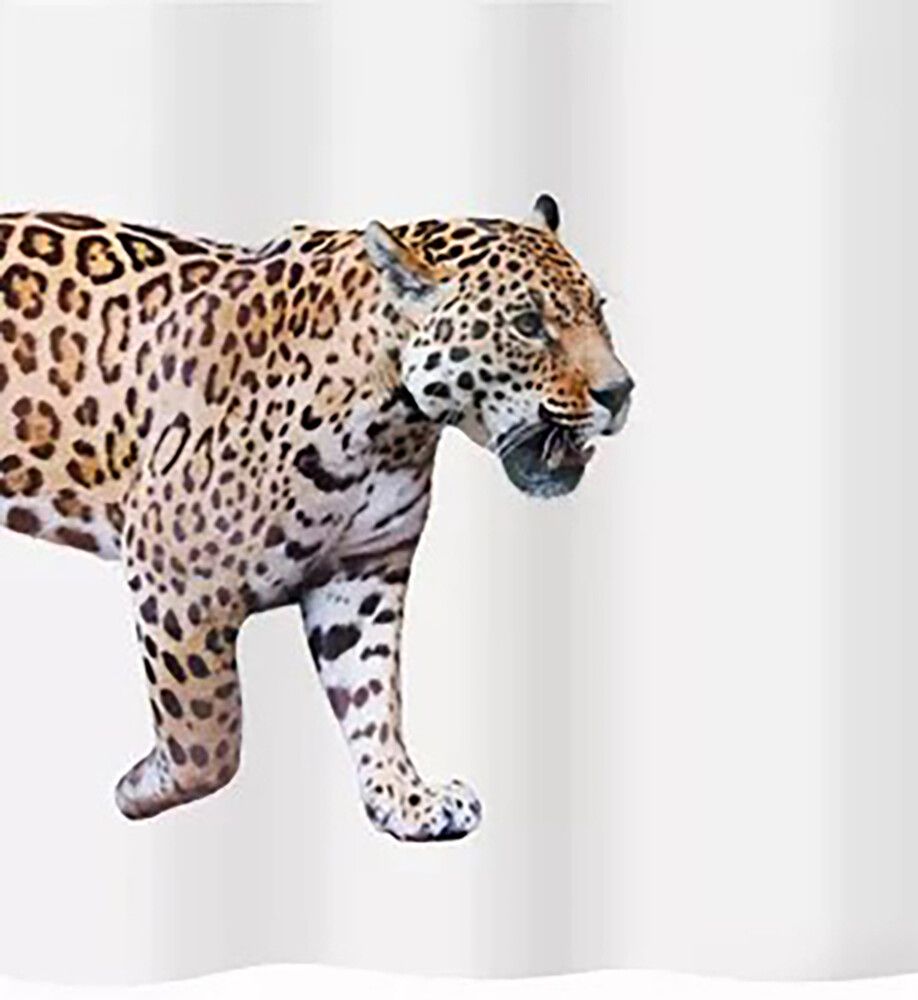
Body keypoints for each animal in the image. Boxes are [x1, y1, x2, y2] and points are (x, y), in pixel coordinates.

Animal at [0, 194, 633, 841]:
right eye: (528, 325)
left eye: (600, 311)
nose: (621, 392)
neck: (393, 426)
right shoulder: (176, 574)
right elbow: (209, 732)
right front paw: (138, 787)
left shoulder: (363, 574)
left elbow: (371, 695)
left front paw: (404, 798)